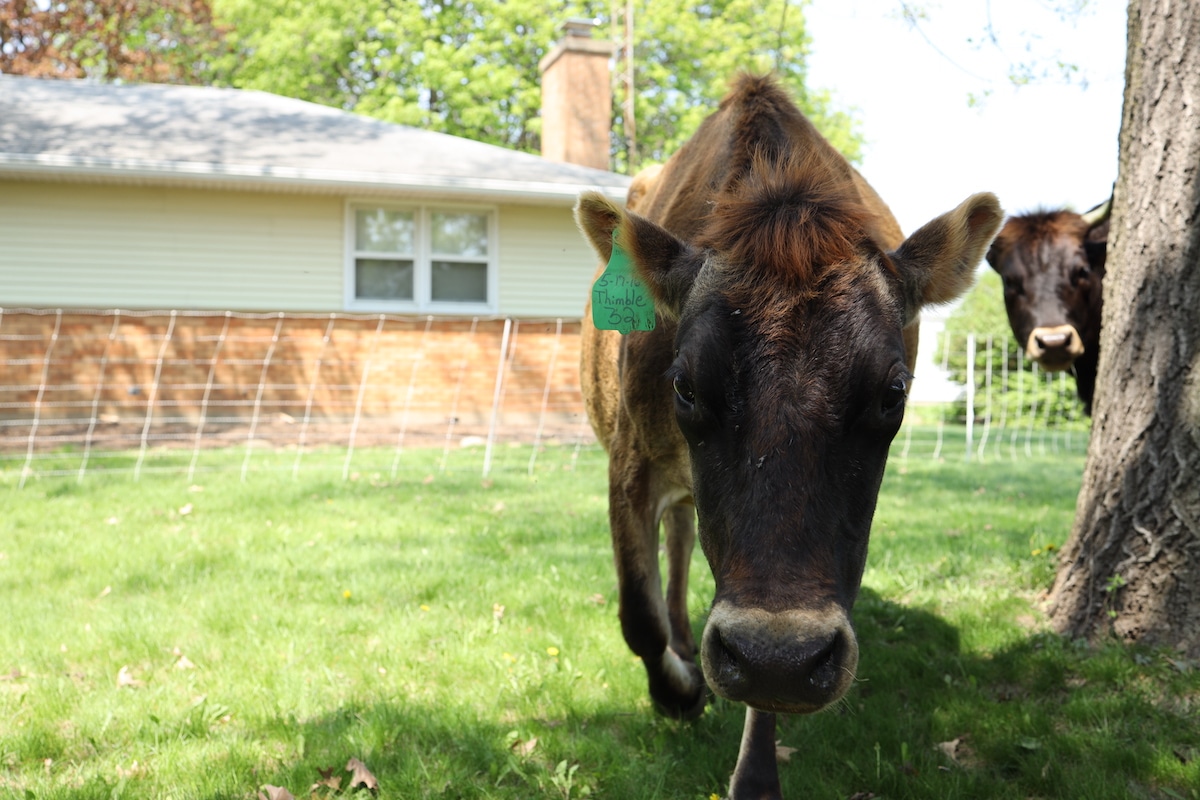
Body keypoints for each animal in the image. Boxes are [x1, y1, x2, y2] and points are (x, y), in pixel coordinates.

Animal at [574, 73, 1002, 799]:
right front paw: (679, 691)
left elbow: (758, 691)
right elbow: (638, 615)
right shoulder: (628, 461)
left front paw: (751, 768)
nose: (778, 658)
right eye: (685, 385)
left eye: (894, 392)